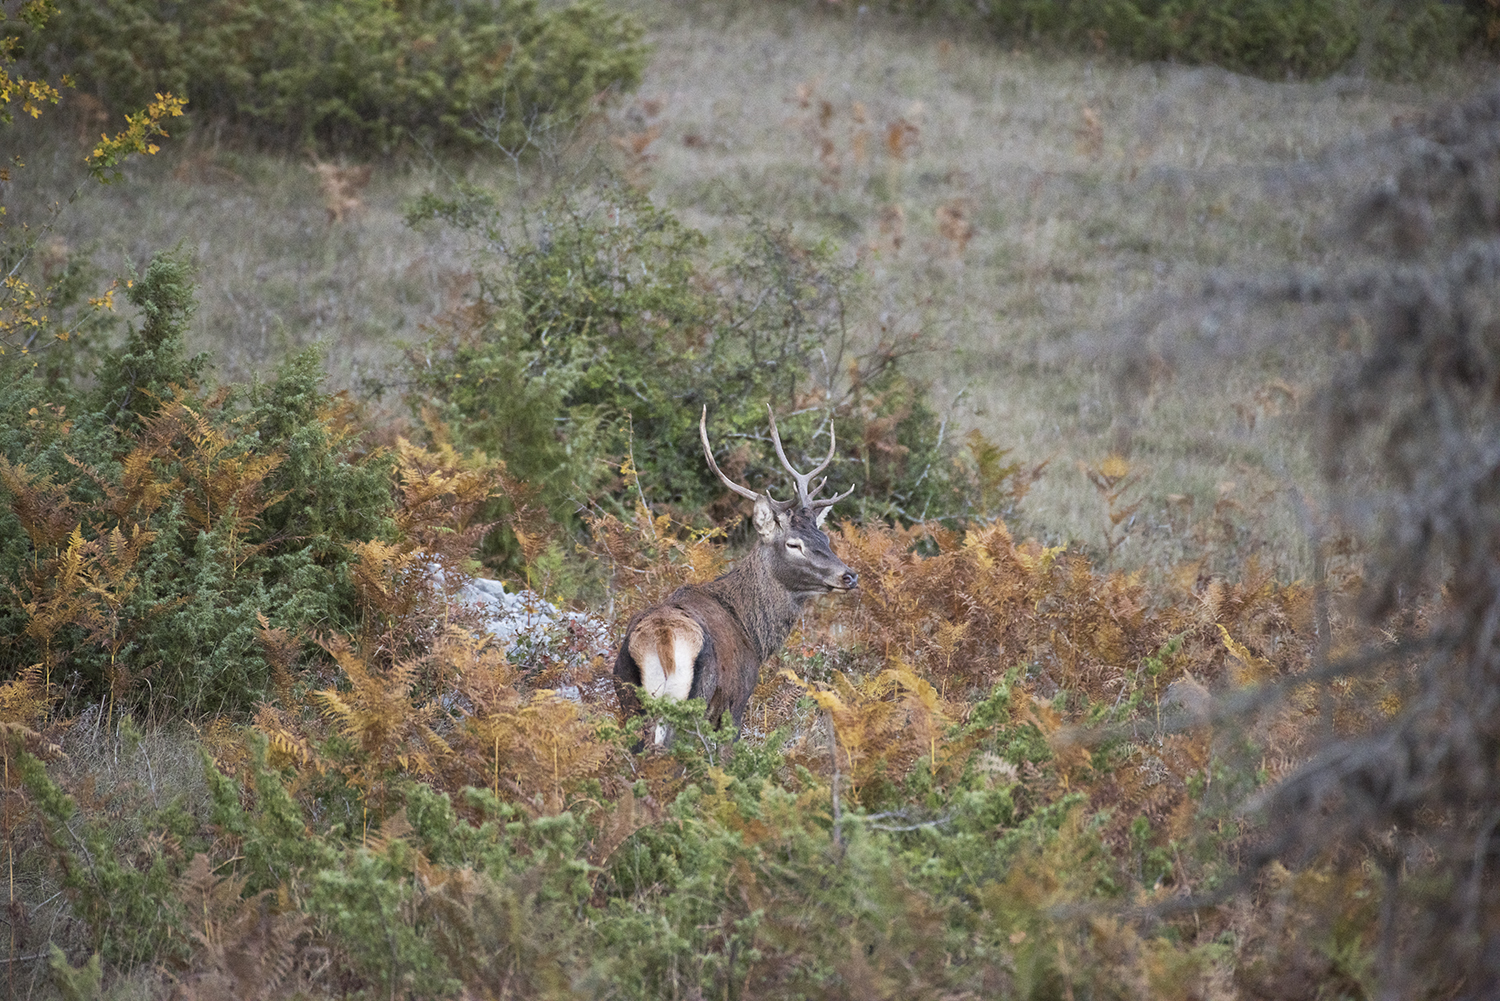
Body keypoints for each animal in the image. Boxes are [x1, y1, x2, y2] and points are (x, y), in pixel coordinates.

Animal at [613, 406, 859, 746]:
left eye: (825, 538)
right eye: (793, 544)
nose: (849, 576)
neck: (753, 635)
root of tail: (662, 639)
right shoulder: (736, 701)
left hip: (628, 701)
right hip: (695, 700)